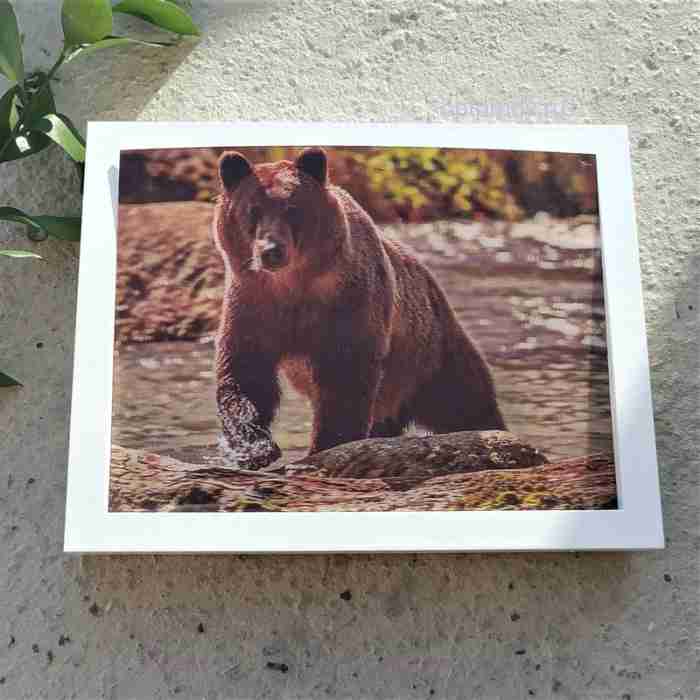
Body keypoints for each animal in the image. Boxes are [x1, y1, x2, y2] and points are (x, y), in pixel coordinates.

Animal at [213, 147, 506, 469]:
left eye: (292, 208)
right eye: (252, 209)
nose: (271, 251)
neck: (293, 286)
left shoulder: (348, 304)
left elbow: (345, 378)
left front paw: (326, 445)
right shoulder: (253, 305)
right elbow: (246, 374)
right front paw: (254, 448)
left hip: (429, 351)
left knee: (464, 399)